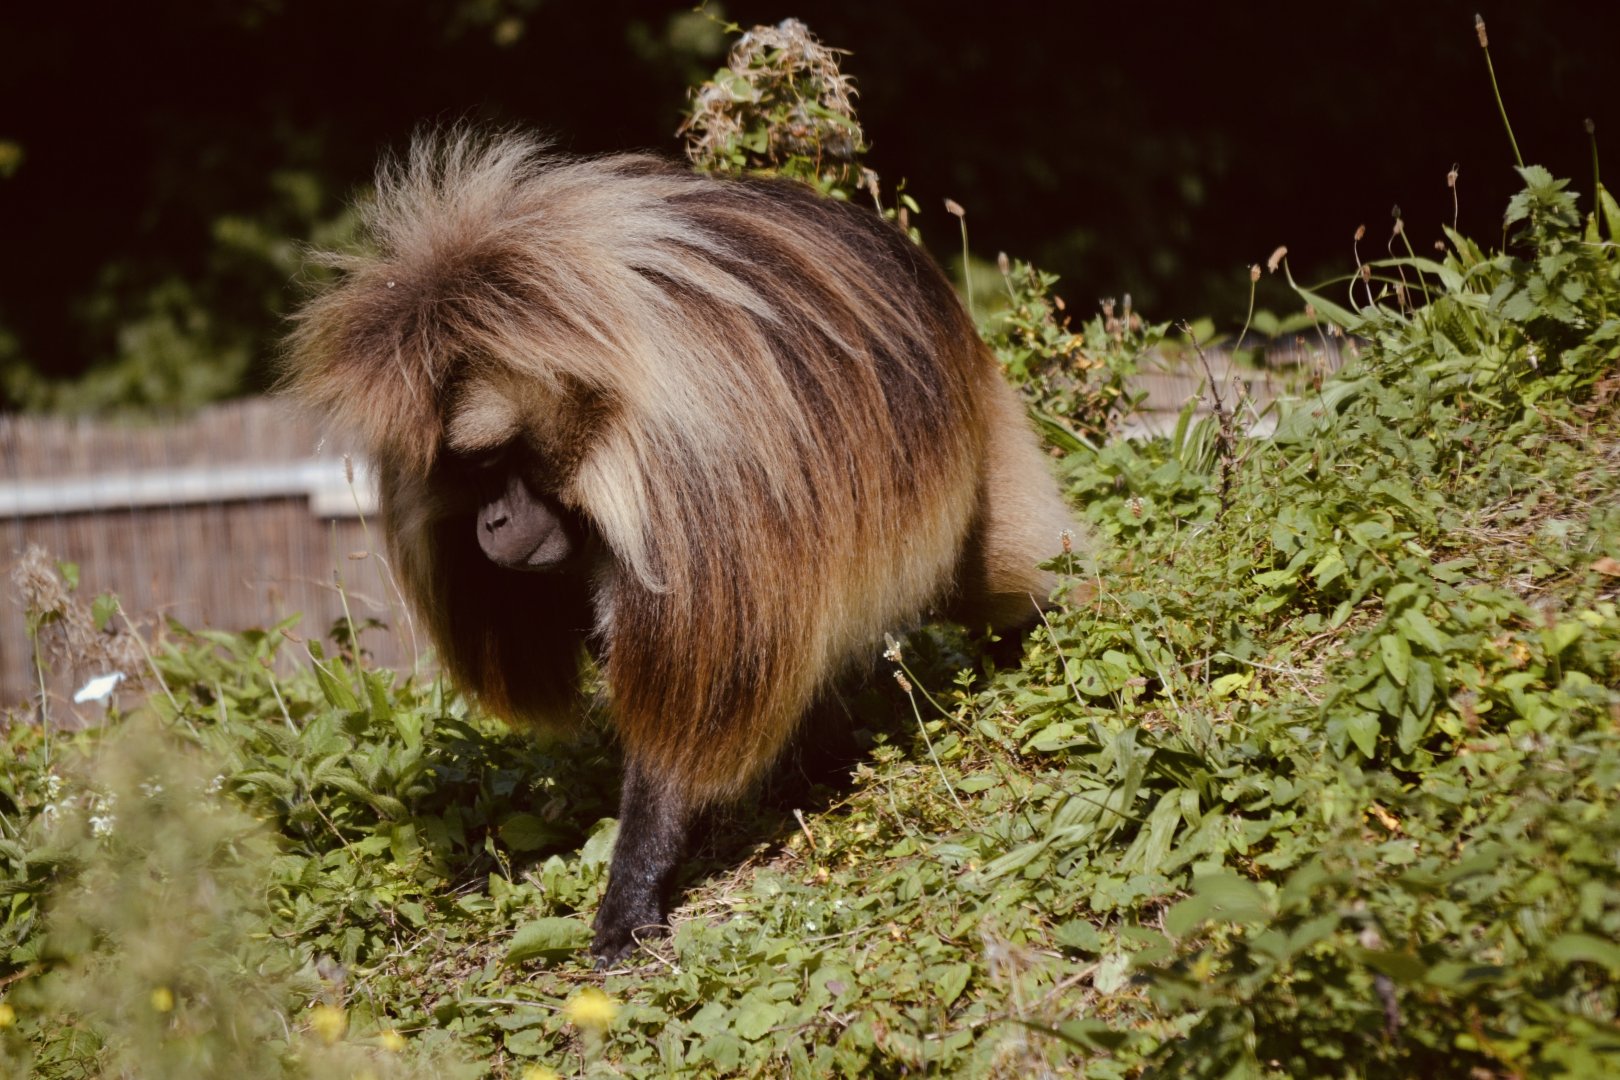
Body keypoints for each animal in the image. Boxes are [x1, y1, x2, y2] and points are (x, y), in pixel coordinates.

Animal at [284, 131, 1080, 965]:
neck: (604, 418)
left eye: (493, 460)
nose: (491, 525)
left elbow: (690, 711)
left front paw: (629, 899)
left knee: (1000, 581)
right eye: (466, 473)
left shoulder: (691, 491)